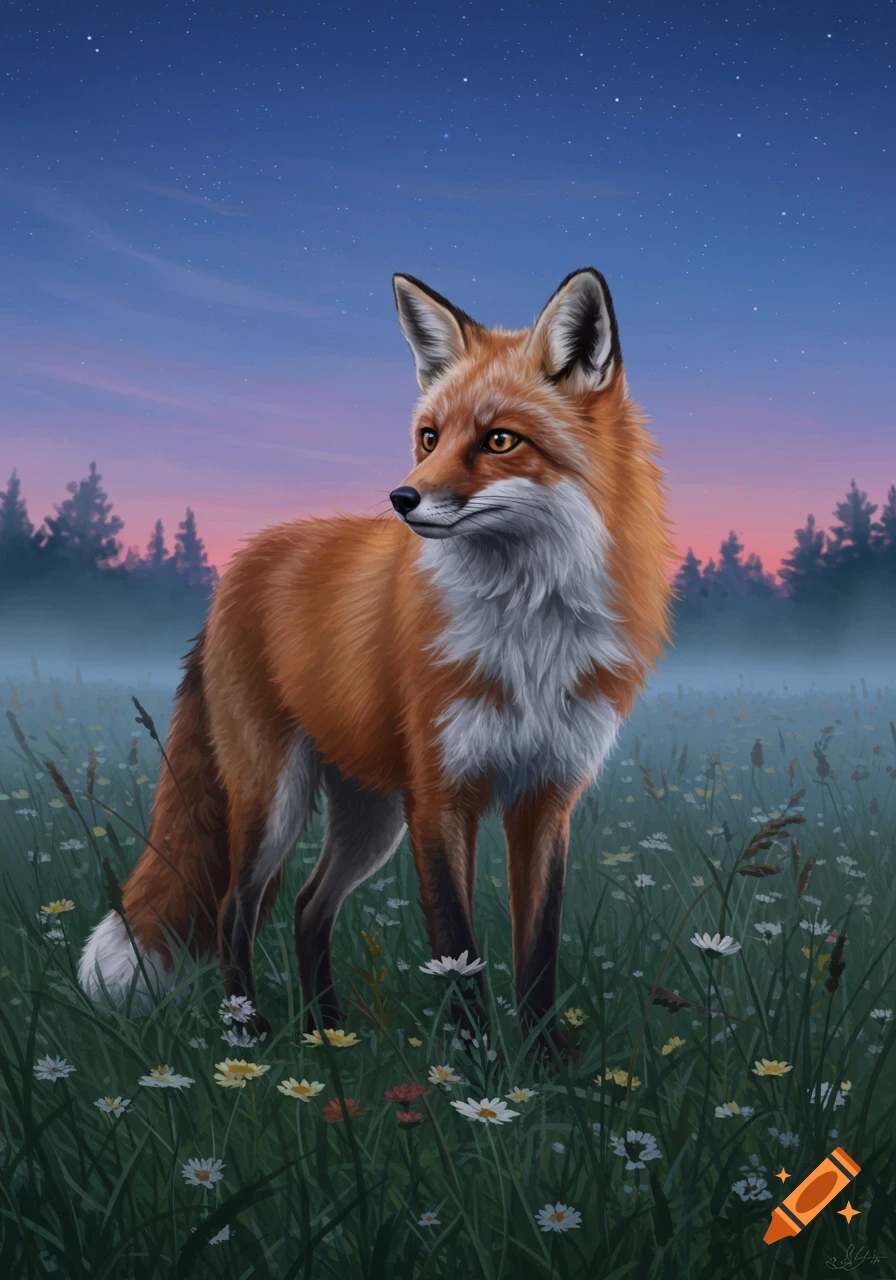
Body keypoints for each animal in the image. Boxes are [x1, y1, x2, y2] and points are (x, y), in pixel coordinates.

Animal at [78, 266, 675, 1050]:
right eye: (428, 437)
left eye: (500, 440)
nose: (402, 497)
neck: (526, 631)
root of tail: (240, 566)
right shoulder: (440, 796)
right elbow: (458, 952)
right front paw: (478, 1061)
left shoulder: (546, 797)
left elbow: (538, 955)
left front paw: (543, 1063)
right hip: (278, 798)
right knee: (237, 909)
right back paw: (250, 1032)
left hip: (370, 815)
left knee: (306, 907)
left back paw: (326, 1033)